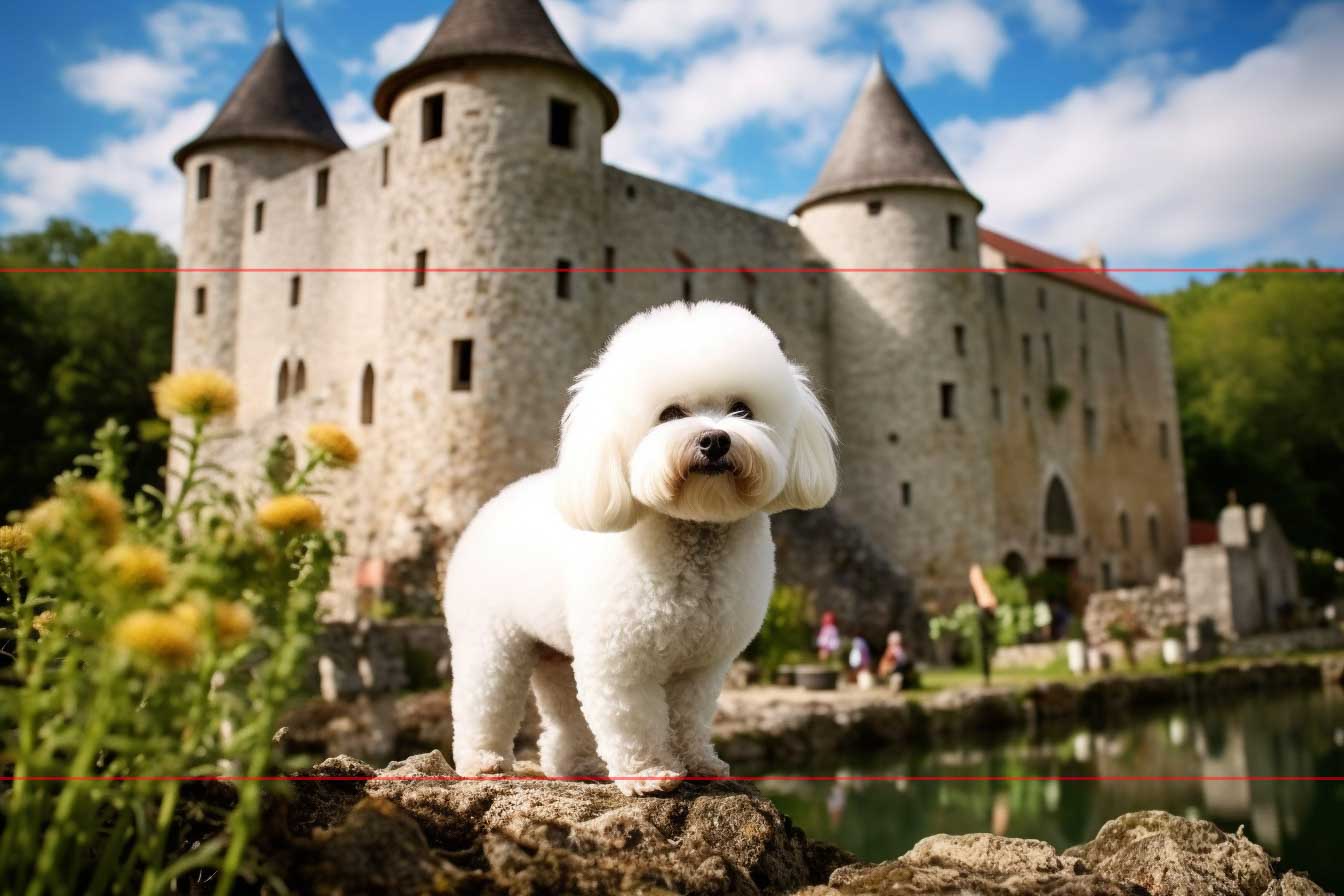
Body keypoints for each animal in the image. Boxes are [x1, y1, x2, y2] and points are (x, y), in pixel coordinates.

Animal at [446, 303, 833, 800]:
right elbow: (633, 718)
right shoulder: (621, 659)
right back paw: (484, 761)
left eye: (742, 409)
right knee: (484, 695)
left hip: (558, 652)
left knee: (564, 708)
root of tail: (493, 503)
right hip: (491, 637)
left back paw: (577, 766)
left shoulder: (703, 665)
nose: (715, 440)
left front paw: (699, 763)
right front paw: (650, 773)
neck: (695, 532)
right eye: (669, 414)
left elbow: (689, 715)